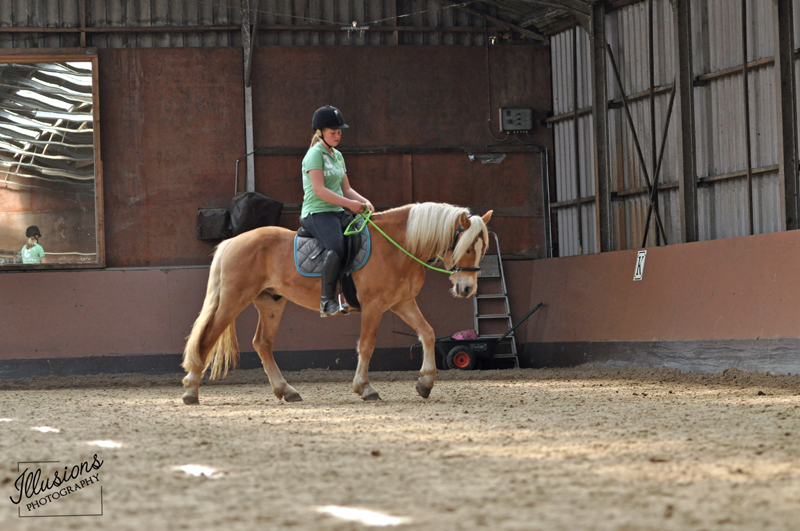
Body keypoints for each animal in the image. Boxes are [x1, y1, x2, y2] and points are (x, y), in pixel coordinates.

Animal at [182, 203, 494, 404]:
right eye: (467, 246)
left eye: (483, 248)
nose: (467, 288)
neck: (397, 246)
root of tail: (233, 241)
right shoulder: (374, 306)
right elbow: (366, 345)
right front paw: (365, 389)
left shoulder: (402, 302)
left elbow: (427, 333)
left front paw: (425, 383)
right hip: (234, 298)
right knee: (208, 338)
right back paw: (191, 392)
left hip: (270, 303)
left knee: (262, 343)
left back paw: (287, 391)